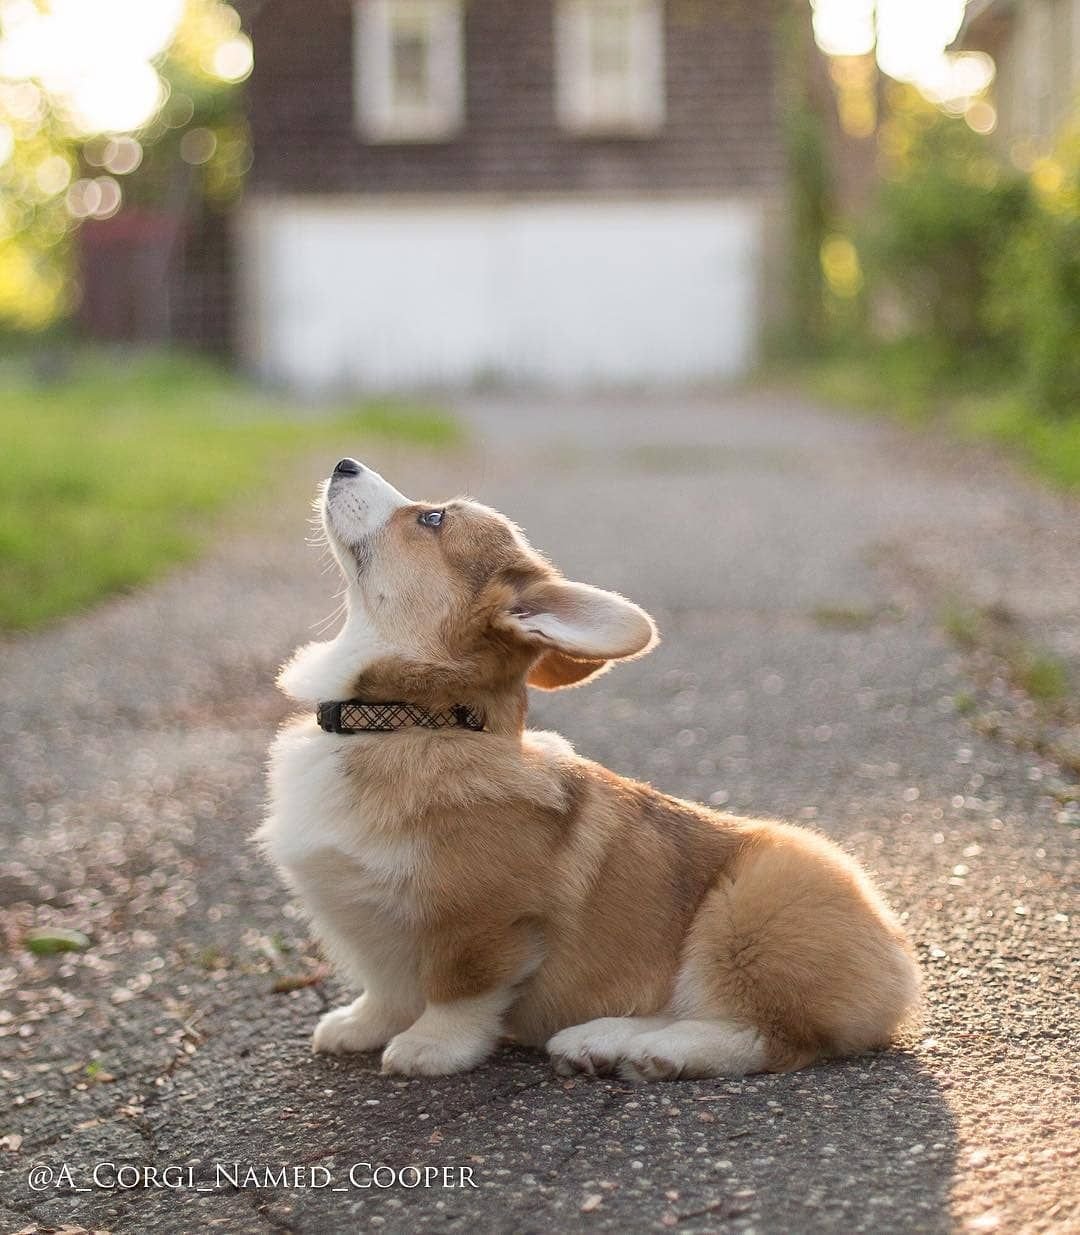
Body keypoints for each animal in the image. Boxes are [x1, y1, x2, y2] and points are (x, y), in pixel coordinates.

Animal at [254, 456, 919, 1081]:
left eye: (432, 519)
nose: (343, 463)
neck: (411, 720)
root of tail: (901, 960)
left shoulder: (481, 920)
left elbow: (458, 992)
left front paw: (428, 1048)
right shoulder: (365, 929)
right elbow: (386, 991)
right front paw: (358, 1026)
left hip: (754, 908)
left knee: (770, 1037)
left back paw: (656, 1053)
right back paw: (599, 1040)